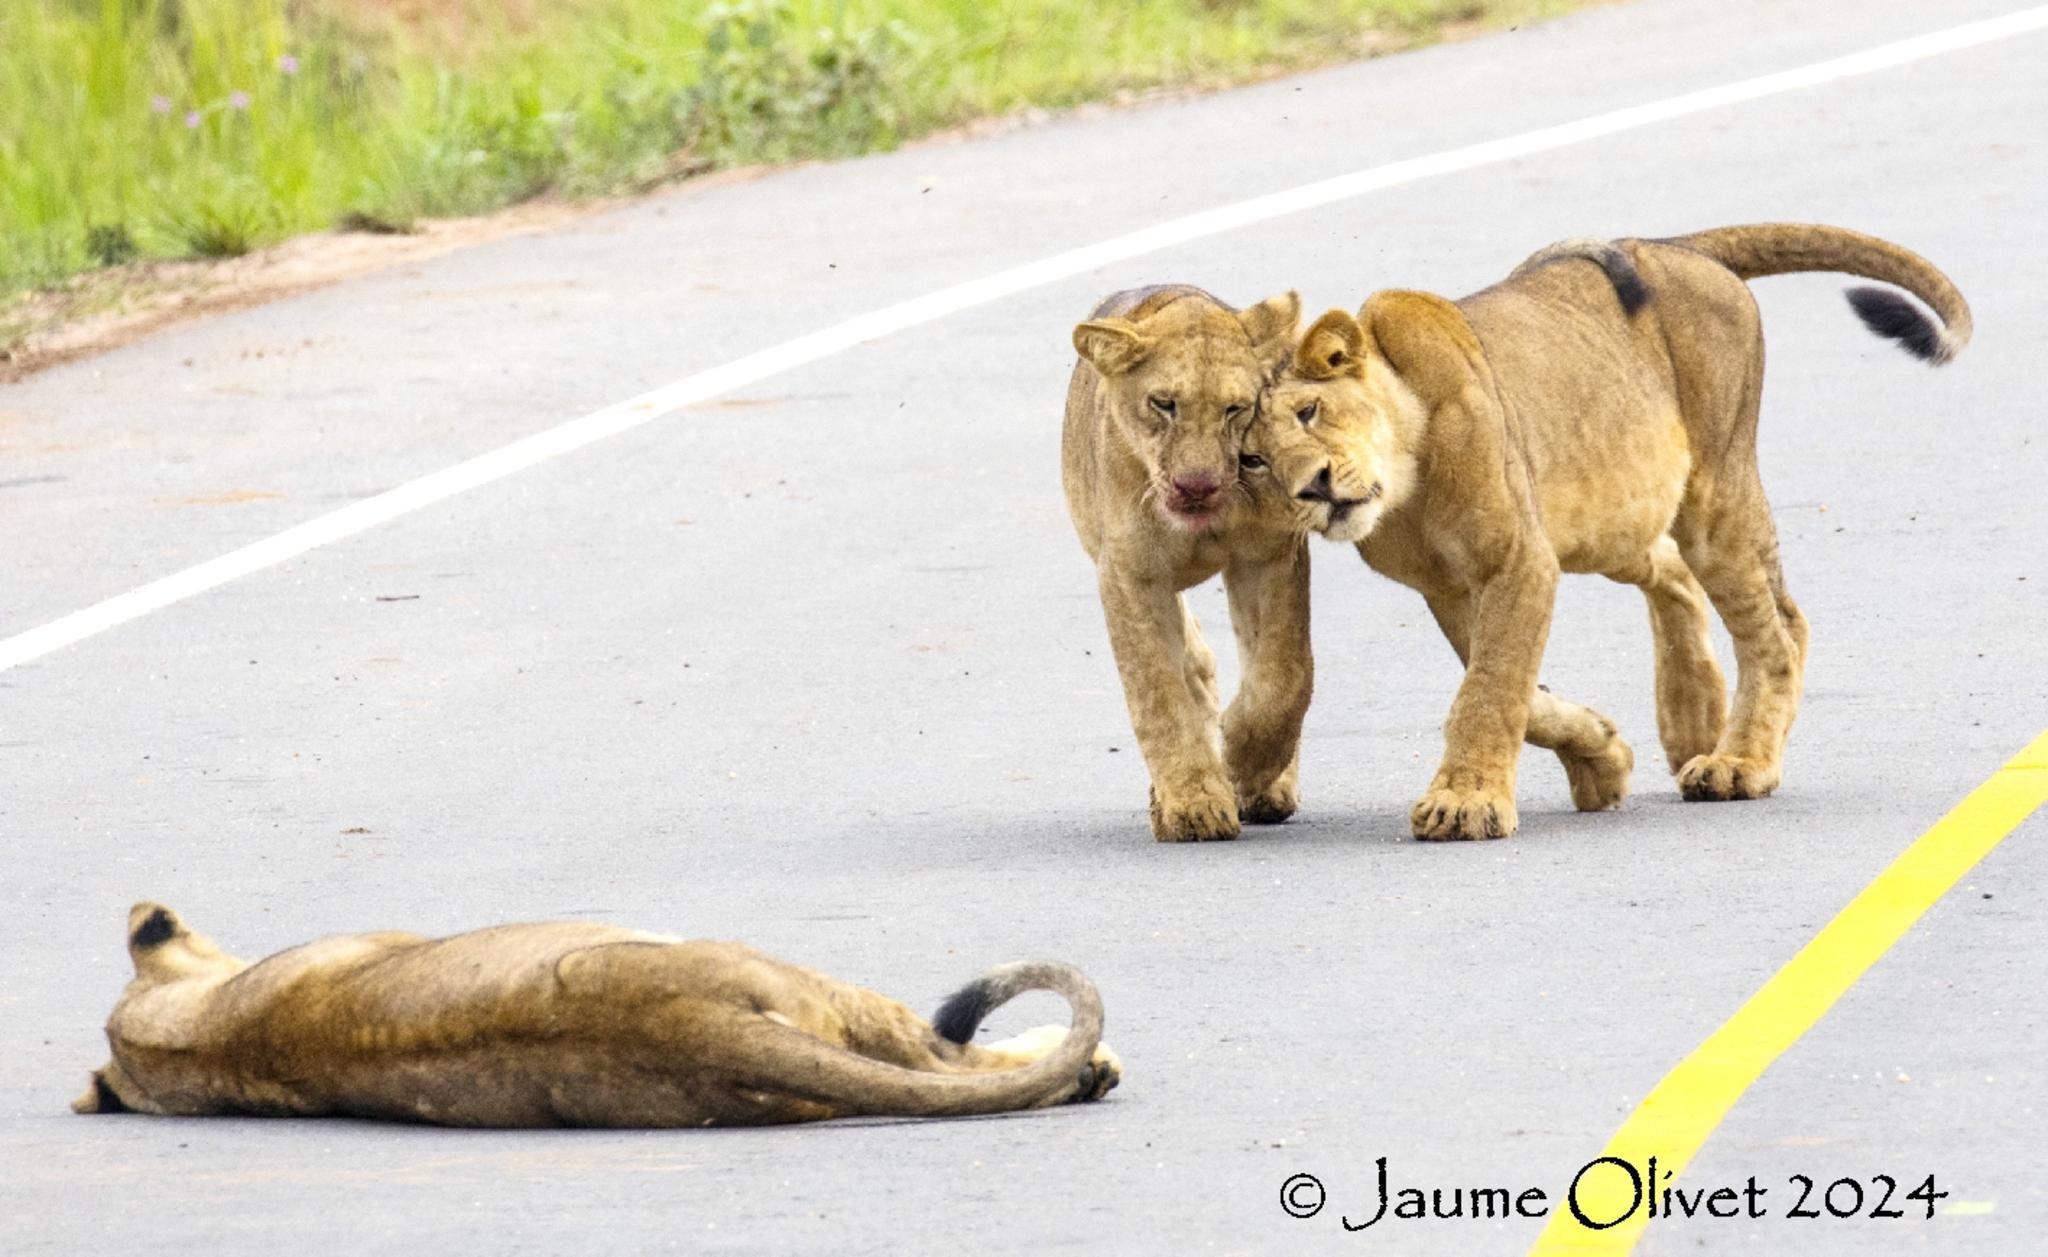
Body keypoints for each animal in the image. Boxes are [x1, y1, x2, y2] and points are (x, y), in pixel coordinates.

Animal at [1245, 223, 1966, 843]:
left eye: (1309, 411)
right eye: (1253, 458)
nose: (1311, 488)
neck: (1405, 483)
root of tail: (1675, 245)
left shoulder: (1518, 560)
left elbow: (1490, 688)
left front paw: (1465, 801)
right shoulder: (1453, 589)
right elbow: (1517, 691)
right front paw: (1601, 753)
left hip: (1714, 493)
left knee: (1777, 629)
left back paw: (1740, 761)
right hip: (1613, 517)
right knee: (1680, 573)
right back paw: (1694, 718)